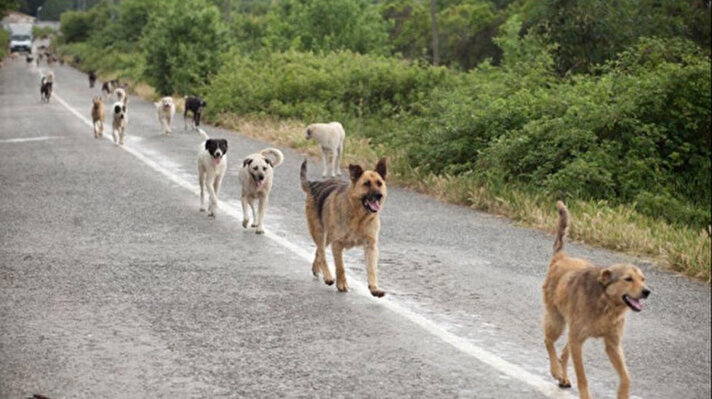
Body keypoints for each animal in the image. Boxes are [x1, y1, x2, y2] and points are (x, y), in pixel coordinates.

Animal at [300, 158, 390, 298]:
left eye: (379, 183)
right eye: (366, 184)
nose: (379, 195)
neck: (359, 217)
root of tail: (314, 184)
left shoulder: (371, 246)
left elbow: (372, 269)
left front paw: (374, 288)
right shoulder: (337, 244)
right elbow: (340, 267)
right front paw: (341, 284)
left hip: (327, 238)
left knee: (318, 252)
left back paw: (316, 268)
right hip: (320, 233)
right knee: (322, 253)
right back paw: (328, 276)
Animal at [544, 203, 652, 399]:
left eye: (643, 279)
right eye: (628, 279)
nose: (647, 292)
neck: (606, 304)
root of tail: (561, 257)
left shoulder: (613, 344)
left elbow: (626, 377)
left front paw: (623, 394)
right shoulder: (578, 340)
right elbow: (582, 377)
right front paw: (585, 395)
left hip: (572, 332)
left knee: (564, 352)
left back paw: (563, 377)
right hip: (558, 322)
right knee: (548, 341)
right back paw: (556, 371)